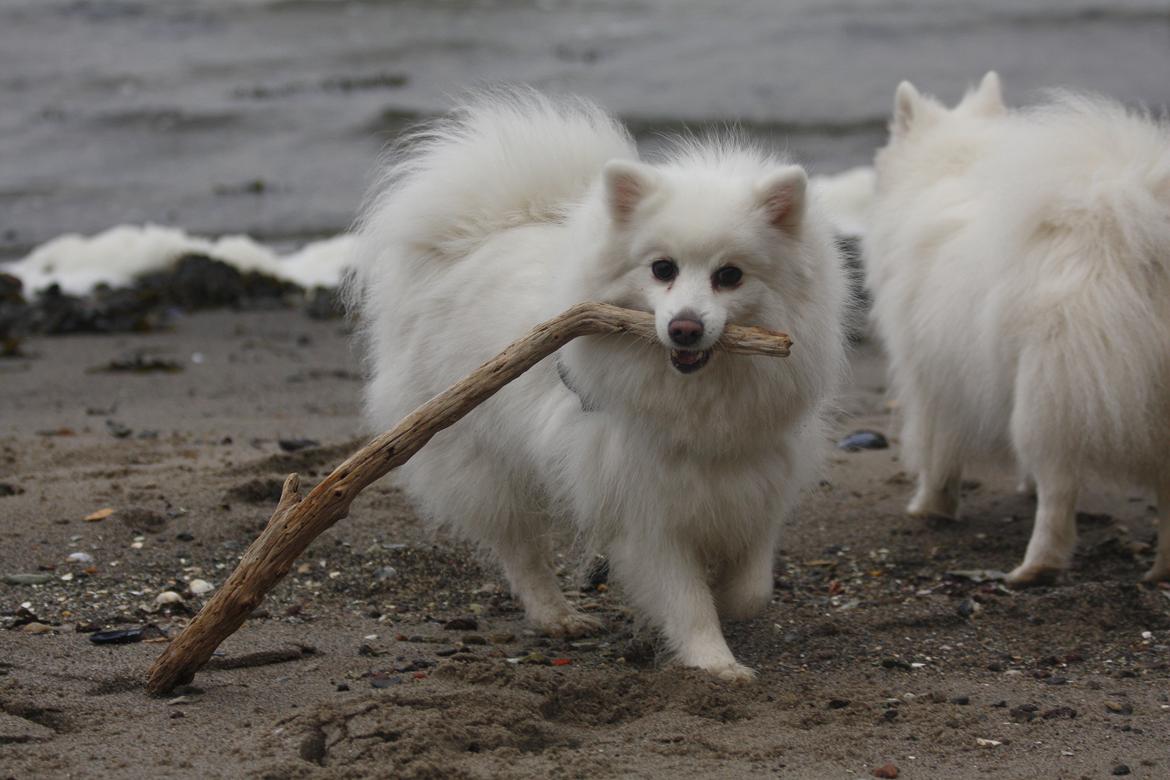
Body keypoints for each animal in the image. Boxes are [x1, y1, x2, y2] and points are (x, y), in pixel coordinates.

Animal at [343, 88, 842, 678]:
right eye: (662, 269)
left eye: (730, 276)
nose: (685, 327)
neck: (700, 396)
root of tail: (479, 235)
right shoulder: (645, 510)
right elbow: (686, 599)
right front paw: (714, 662)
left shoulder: (759, 481)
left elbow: (751, 587)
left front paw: (727, 602)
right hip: (483, 461)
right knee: (520, 550)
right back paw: (557, 616)